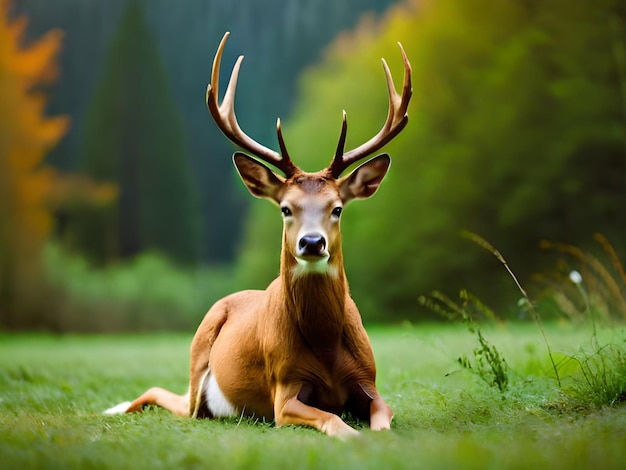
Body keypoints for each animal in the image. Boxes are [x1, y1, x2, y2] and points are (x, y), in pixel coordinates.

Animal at [104, 31, 410, 438]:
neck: (327, 346)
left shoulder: (369, 382)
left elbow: (382, 420)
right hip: (197, 363)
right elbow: (332, 419)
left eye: (337, 208)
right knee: (172, 397)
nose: (312, 243)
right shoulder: (284, 388)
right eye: (285, 209)